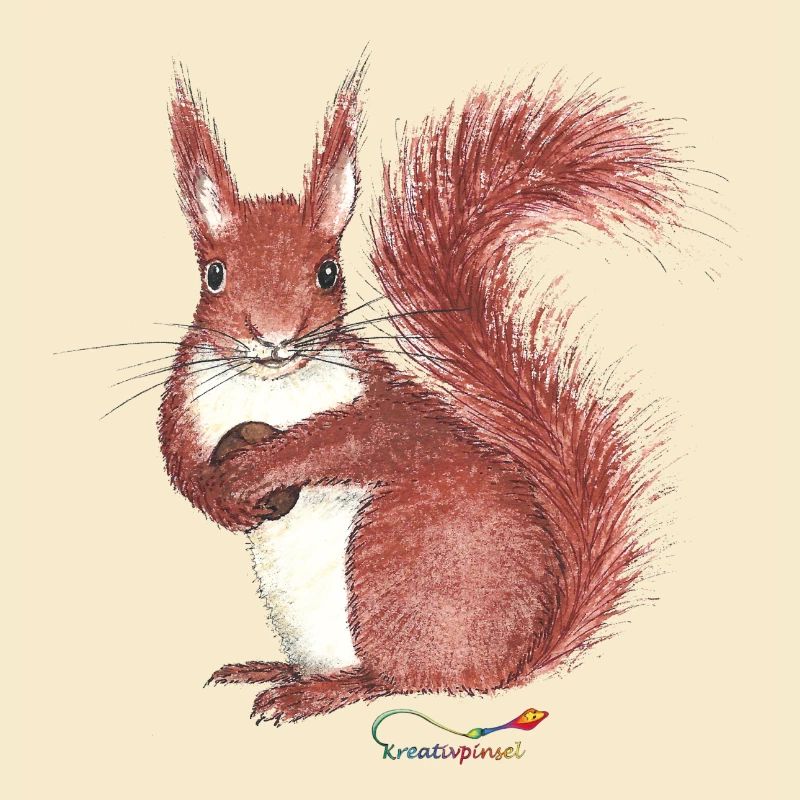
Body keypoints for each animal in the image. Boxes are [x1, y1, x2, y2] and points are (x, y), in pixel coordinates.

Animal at [158, 62, 682, 726]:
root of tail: (509, 665)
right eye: (213, 274)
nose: (275, 339)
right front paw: (218, 498)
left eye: (328, 272)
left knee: (399, 680)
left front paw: (260, 467)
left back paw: (317, 692)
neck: (269, 387)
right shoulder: (186, 399)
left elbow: (348, 438)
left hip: (391, 567)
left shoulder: (382, 404)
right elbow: (178, 460)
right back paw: (271, 670)